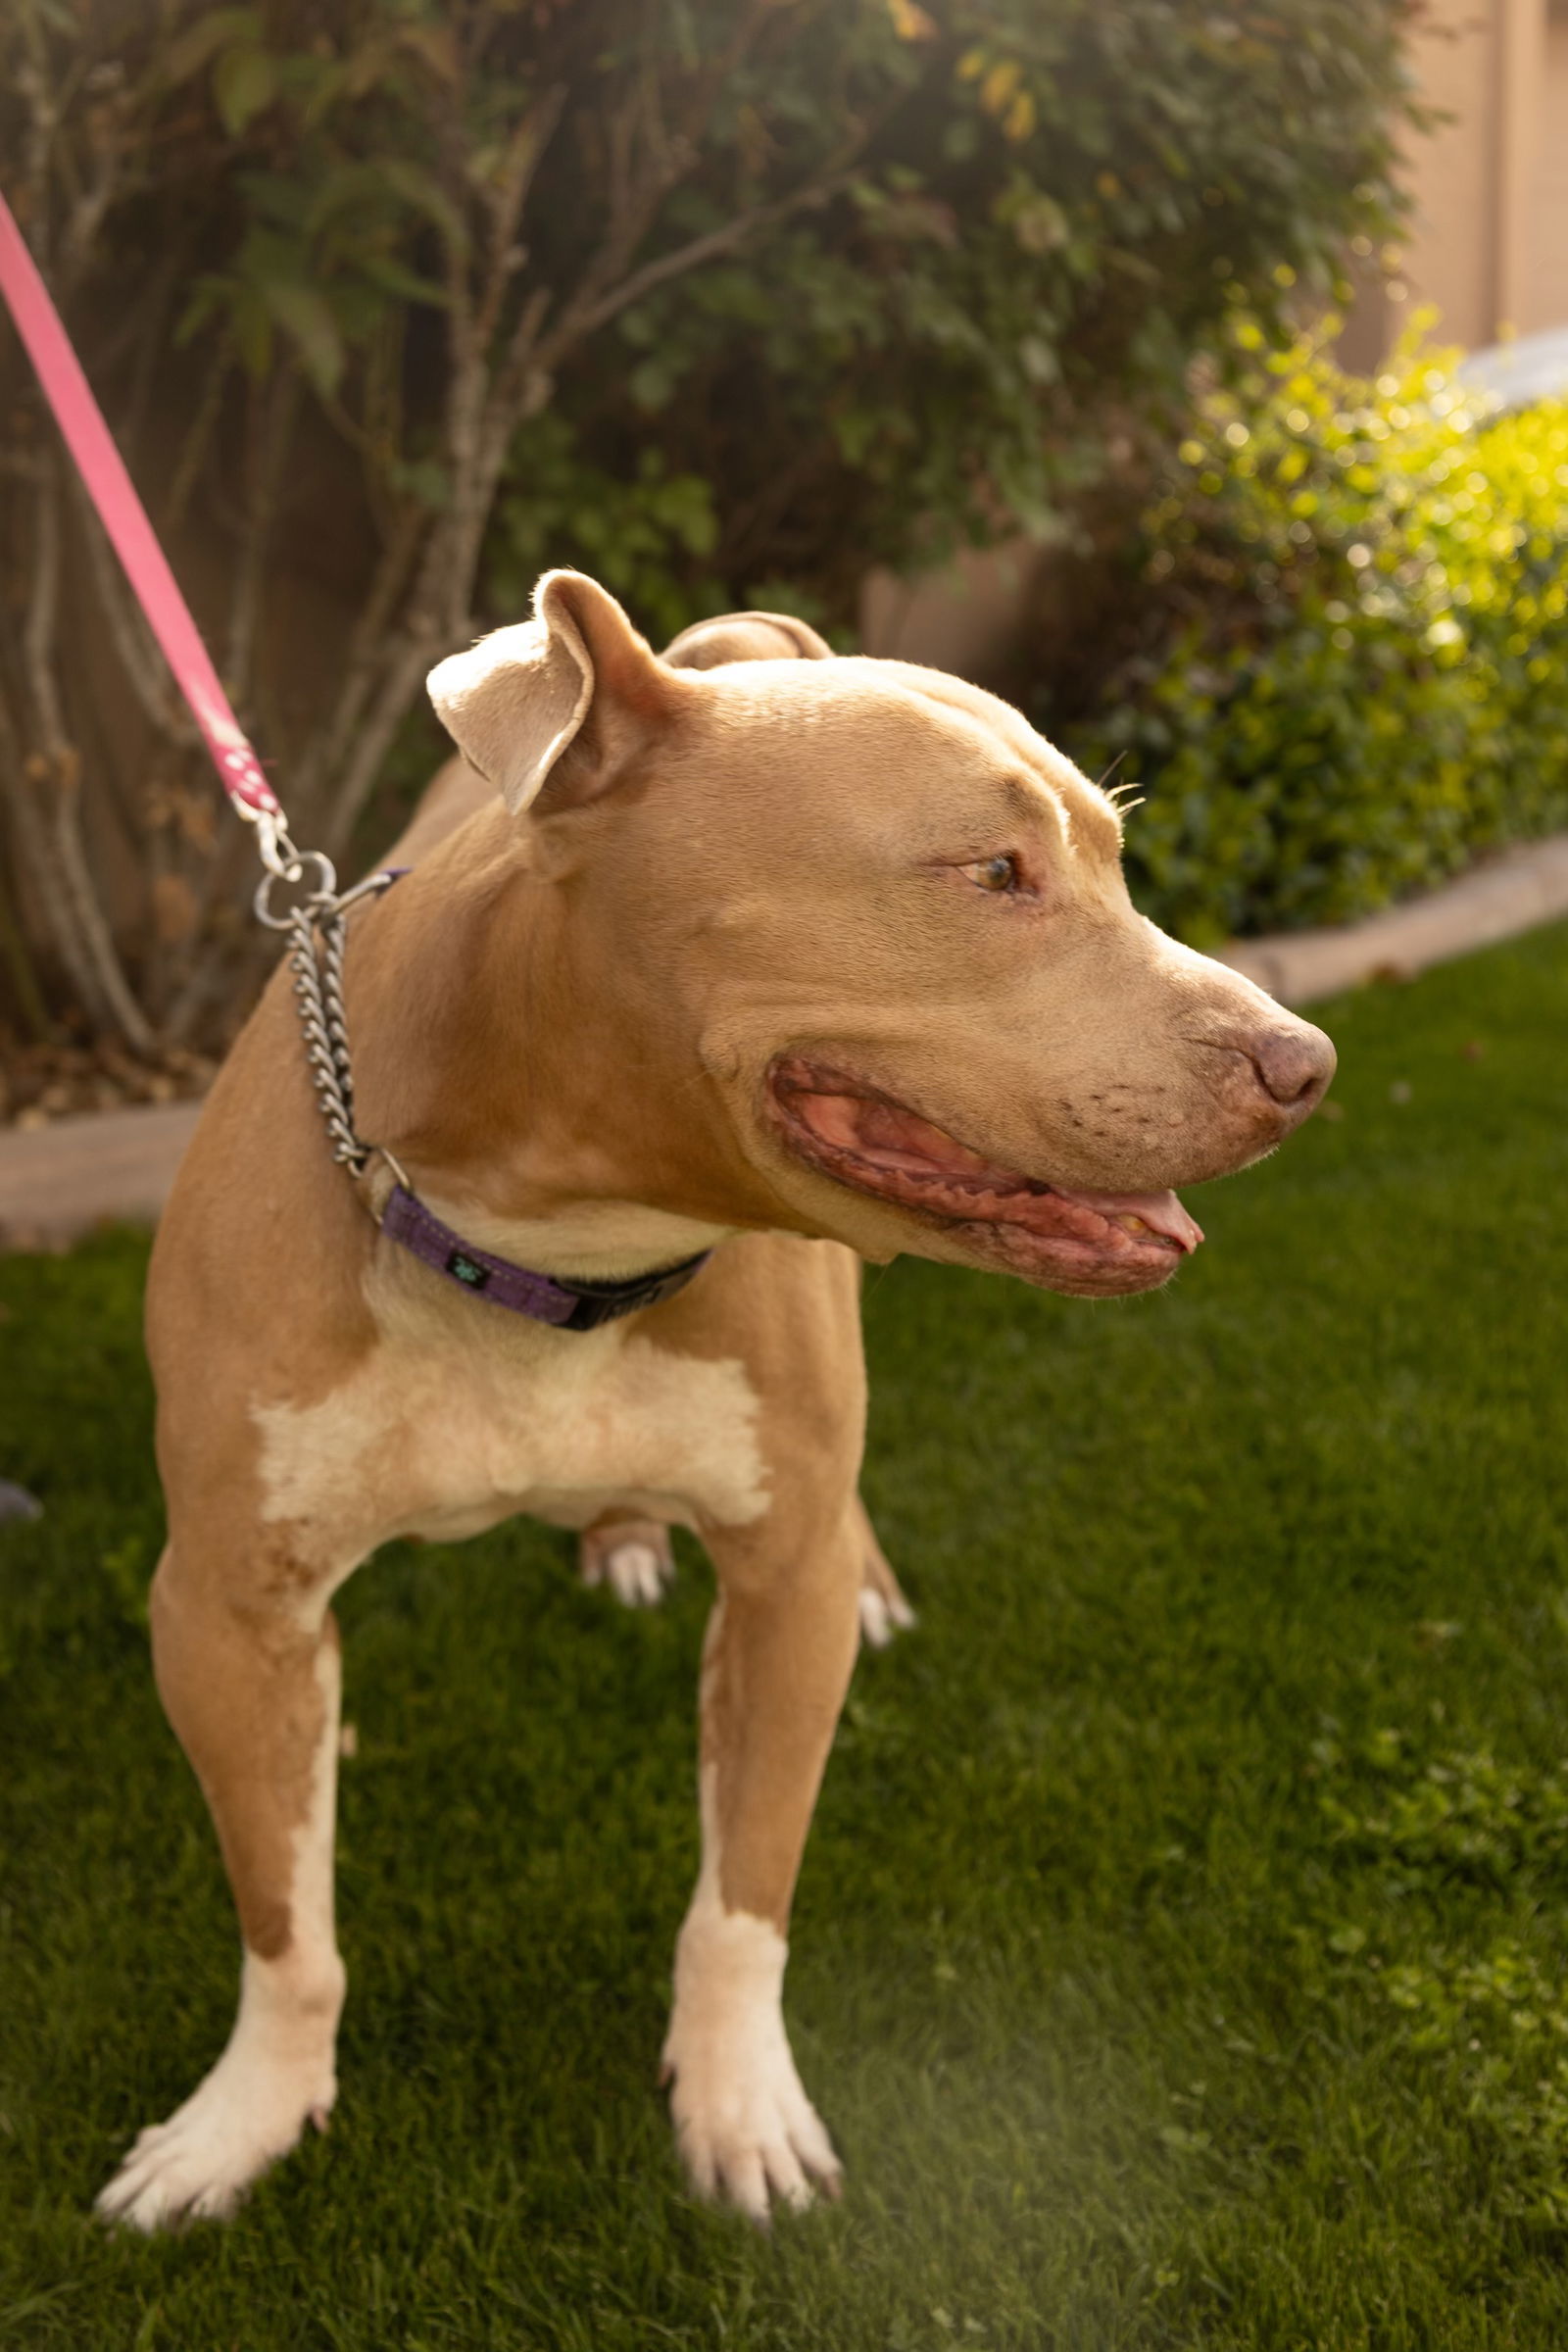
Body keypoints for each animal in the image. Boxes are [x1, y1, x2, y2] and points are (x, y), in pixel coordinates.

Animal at [98, 568, 1335, 2220]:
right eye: (993, 870)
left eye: (1115, 858)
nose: (1306, 1064)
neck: (548, 1253)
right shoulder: (226, 1614)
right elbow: (286, 1928)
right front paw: (246, 2119)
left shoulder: (779, 1584)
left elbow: (744, 1893)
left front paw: (740, 2105)